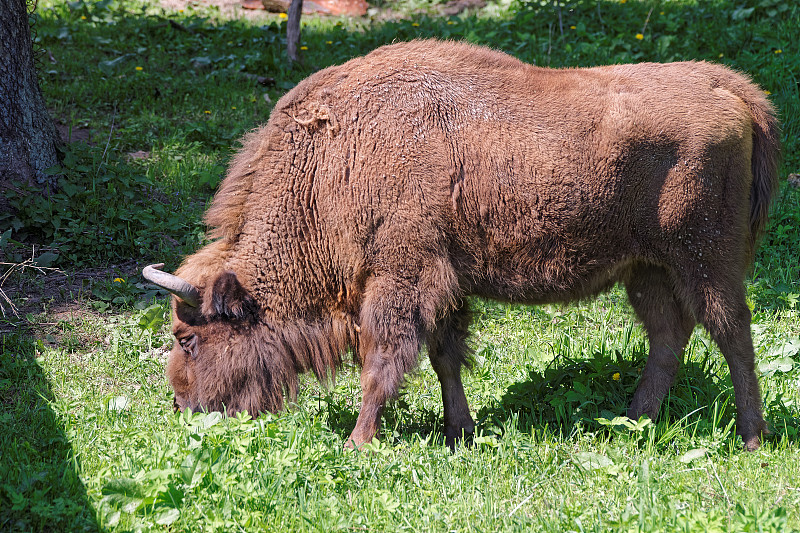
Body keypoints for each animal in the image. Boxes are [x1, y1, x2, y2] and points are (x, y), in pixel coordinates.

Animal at [144, 39, 780, 450]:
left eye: (188, 338)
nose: (181, 406)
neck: (333, 161)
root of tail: (729, 88)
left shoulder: (401, 280)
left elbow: (384, 363)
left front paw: (358, 442)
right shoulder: (444, 285)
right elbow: (445, 355)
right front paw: (459, 433)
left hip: (706, 261)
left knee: (732, 333)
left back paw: (751, 437)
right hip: (648, 269)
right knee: (669, 338)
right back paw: (633, 426)